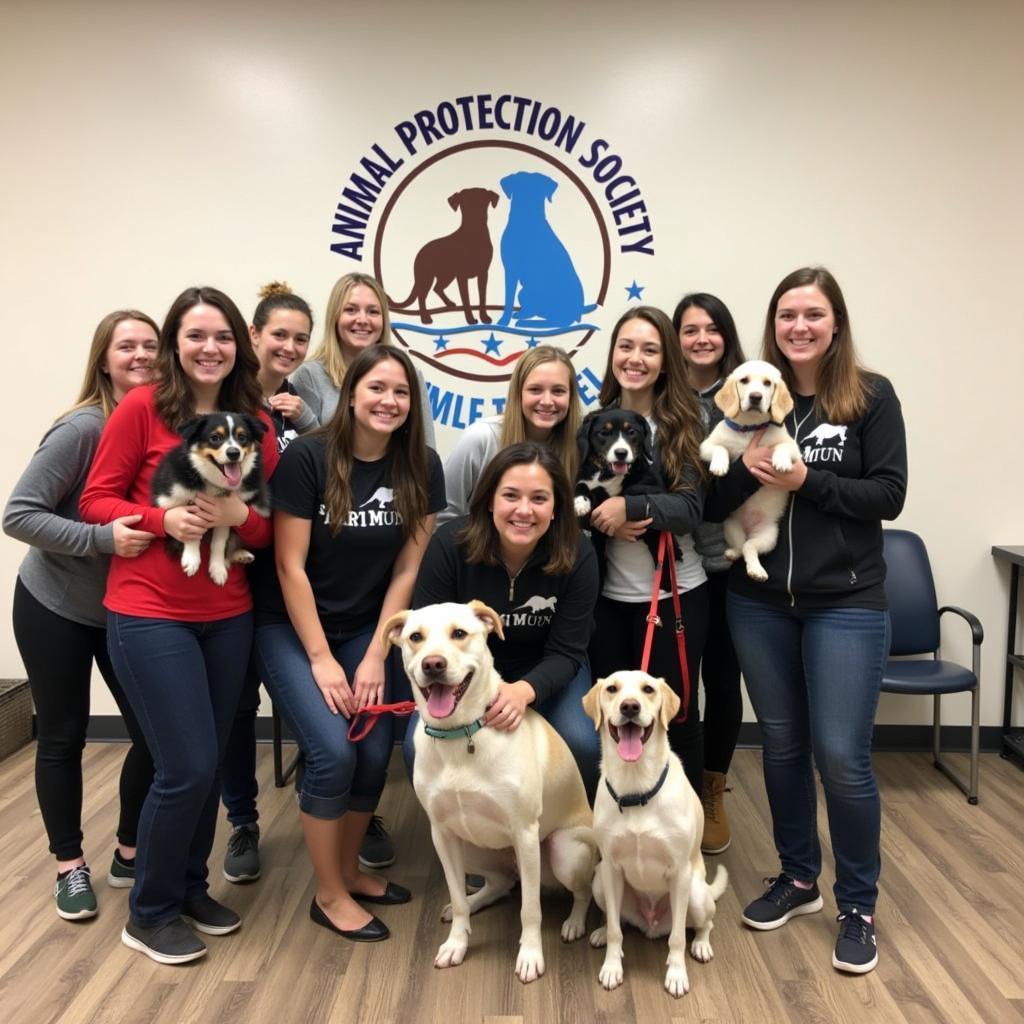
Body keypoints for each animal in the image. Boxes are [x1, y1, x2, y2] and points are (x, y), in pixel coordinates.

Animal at [149, 407, 270, 585]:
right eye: (215, 438)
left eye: (242, 437)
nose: (234, 453)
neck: (212, 482)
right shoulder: (171, 499)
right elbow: (192, 531)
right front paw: (191, 559)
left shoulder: (226, 517)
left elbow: (219, 542)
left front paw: (217, 569)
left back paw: (241, 555)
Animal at [385, 598, 598, 983]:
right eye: (415, 637)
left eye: (459, 633)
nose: (433, 664)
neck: (461, 734)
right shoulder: (442, 833)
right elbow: (457, 897)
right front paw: (456, 943)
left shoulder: (525, 834)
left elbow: (530, 910)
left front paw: (530, 955)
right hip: (471, 847)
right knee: (499, 884)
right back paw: (474, 902)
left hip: (563, 851)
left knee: (581, 890)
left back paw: (574, 923)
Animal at [577, 409, 679, 577]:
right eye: (604, 433)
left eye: (631, 432)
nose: (621, 453)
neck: (607, 474)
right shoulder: (585, 477)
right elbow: (581, 485)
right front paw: (580, 503)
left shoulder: (653, 486)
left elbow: (633, 490)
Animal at [585, 671, 729, 999]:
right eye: (612, 689)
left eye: (648, 689)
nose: (629, 706)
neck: (636, 788)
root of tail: (651, 925)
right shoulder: (610, 869)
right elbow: (616, 929)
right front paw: (612, 967)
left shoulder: (679, 872)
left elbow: (676, 938)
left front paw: (676, 975)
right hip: (599, 882)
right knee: (617, 920)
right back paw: (599, 933)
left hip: (696, 895)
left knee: (704, 925)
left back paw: (701, 945)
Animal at [700, 360, 802, 585]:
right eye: (744, 380)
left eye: (767, 383)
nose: (756, 397)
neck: (749, 428)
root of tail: (748, 530)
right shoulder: (706, 446)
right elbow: (720, 448)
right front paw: (720, 465)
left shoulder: (794, 449)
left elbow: (782, 447)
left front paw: (781, 462)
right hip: (731, 525)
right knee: (741, 547)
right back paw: (732, 553)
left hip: (769, 536)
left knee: (749, 548)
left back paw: (756, 570)